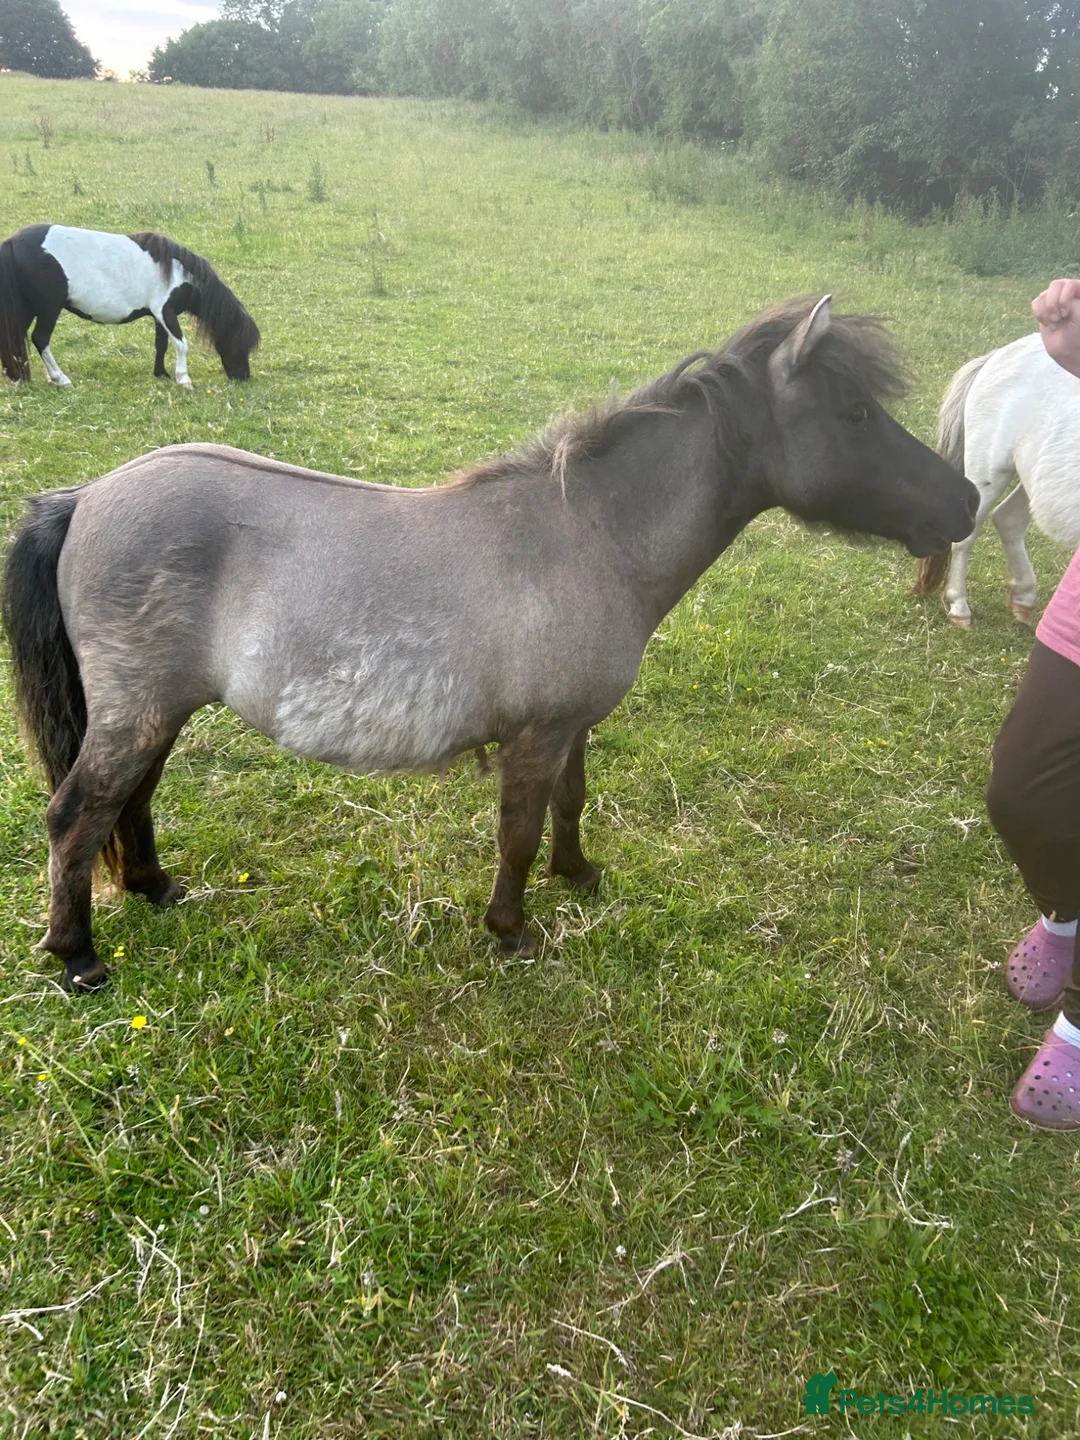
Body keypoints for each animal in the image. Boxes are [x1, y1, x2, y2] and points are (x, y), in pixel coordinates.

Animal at [0, 223, 260, 387]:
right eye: (239, 343)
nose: (243, 377)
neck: (177, 271)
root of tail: (12, 242)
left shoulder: (159, 316)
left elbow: (161, 345)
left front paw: (161, 374)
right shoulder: (165, 312)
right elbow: (181, 344)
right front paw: (183, 379)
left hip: (28, 308)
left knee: (15, 339)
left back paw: (20, 377)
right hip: (48, 308)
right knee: (40, 339)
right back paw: (60, 379)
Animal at [1, 296, 977, 992]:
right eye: (854, 413)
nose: (963, 500)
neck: (591, 534)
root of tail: (88, 496)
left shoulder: (572, 725)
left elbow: (570, 806)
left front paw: (579, 874)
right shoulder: (536, 735)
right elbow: (517, 832)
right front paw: (510, 931)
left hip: (156, 713)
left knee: (127, 804)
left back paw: (154, 889)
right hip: (135, 712)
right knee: (75, 813)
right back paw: (77, 954)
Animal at [912, 331, 1080, 627]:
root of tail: (998, 354)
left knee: (1007, 519)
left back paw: (1023, 597)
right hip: (988, 470)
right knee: (967, 533)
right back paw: (959, 607)